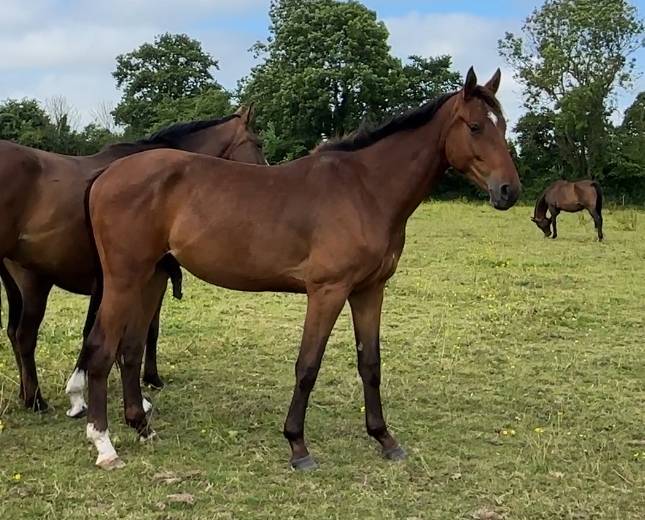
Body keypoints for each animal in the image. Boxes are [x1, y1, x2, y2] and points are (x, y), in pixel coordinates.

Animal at [0, 106, 265, 416]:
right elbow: (144, 329)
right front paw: (147, 381)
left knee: (13, 333)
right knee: (24, 336)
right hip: (34, 285)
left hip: (15, 286)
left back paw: (25, 394)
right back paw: (36, 400)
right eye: (258, 143)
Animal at [77, 67, 521, 470]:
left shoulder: (370, 290)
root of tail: (106, 174)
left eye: (503, 126)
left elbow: (371, 363)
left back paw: (142, 427)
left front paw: (384, 438)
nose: (509, 191)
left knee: (131, 349)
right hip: (124, 279)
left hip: (150, 276)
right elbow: (308, 366)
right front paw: (297, 446)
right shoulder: (328, 291)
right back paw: (105, 446)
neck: (365, 190)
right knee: (100, 348)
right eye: (476, 126)